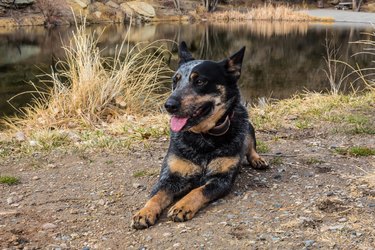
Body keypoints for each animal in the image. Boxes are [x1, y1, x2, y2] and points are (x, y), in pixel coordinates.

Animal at [131, 41, 268, 230]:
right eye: (175, 81)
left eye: (200, 81)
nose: (169, 105)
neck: (203, 137)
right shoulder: (170, 176)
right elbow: (156, 194)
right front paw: (145, 211)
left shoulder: (221, 180)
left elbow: (198, 190)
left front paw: (182, 205)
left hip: (248, 127)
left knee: (250, 146)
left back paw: (257, 159)